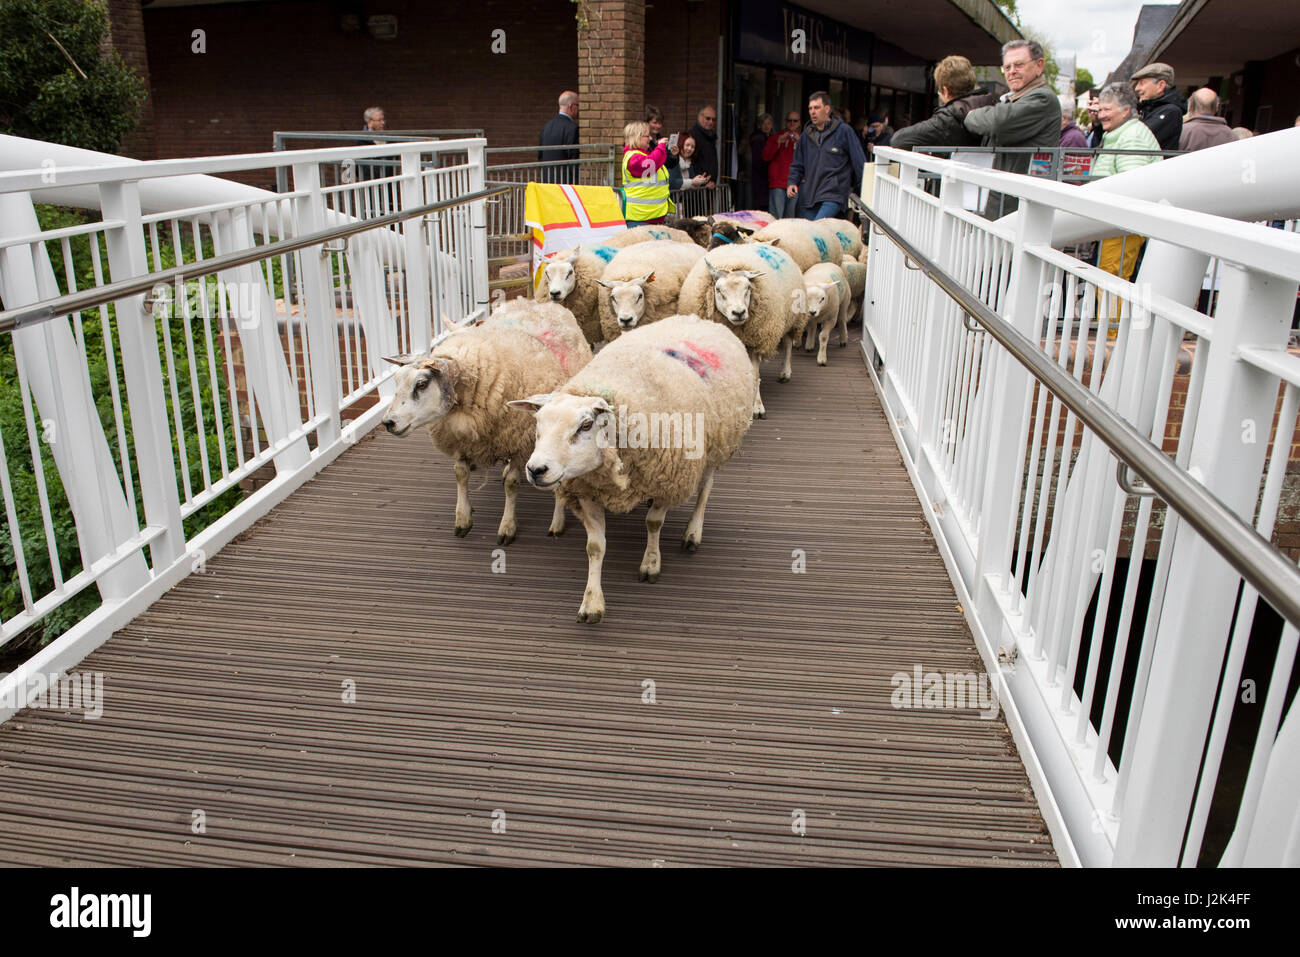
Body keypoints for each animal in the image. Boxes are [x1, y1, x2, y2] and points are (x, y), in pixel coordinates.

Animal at [379, 299, 595, 546]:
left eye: (422, 384)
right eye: (396, 381)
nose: (388, 422)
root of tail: (537, 302)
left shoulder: (518, 441)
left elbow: (511, 484)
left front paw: (507, 526)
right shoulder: (462, 440)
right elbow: (460, 473)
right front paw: (463, 519)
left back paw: (557, 522)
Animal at [504, 314, 754, 624]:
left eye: (586, 425)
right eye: (538, 422)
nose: (536, 469)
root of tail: (698, 318)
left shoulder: (666, 479)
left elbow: (654, 523)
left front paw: (650, 563)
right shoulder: (587, 491)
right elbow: (595, 546)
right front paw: (592, 602)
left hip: (717, 445)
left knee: (705, 489)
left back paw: (693, 533)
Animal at [676, 240, 806, 416]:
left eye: (748, 288)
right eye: (718, 290)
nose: (739, 313)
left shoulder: (755, 341)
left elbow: (755, 374)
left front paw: (757, 406)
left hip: (792, 318)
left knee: (787, 344)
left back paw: (785, 373)